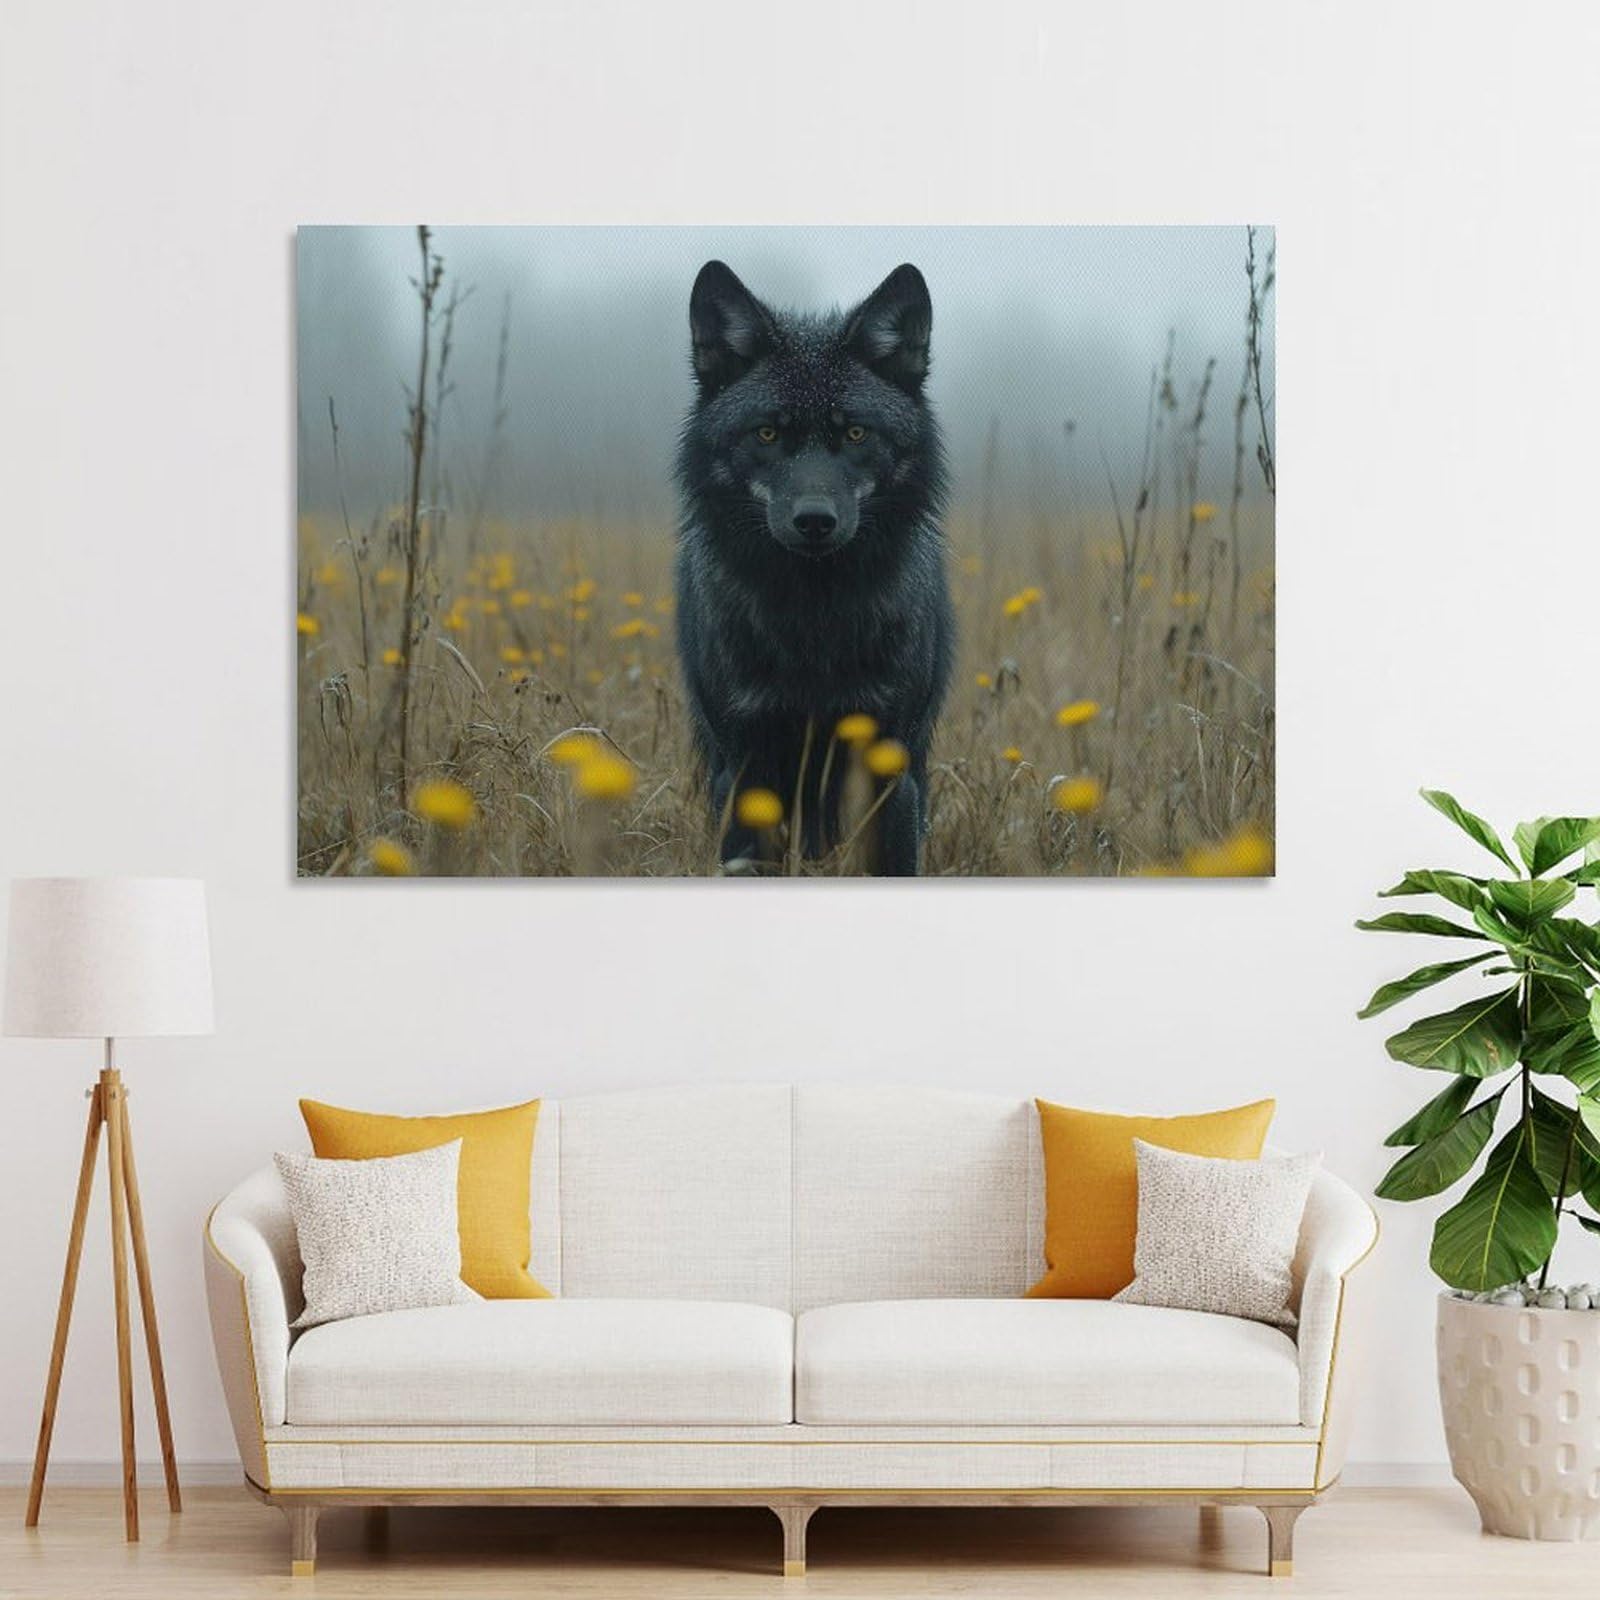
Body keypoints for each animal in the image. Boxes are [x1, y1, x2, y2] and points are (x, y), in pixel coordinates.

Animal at [674, 260, 954, 876]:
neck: (814, 618)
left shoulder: (889, 773)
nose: (814, 521)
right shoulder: (744, 770)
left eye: (854, 432)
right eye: (768, 433)